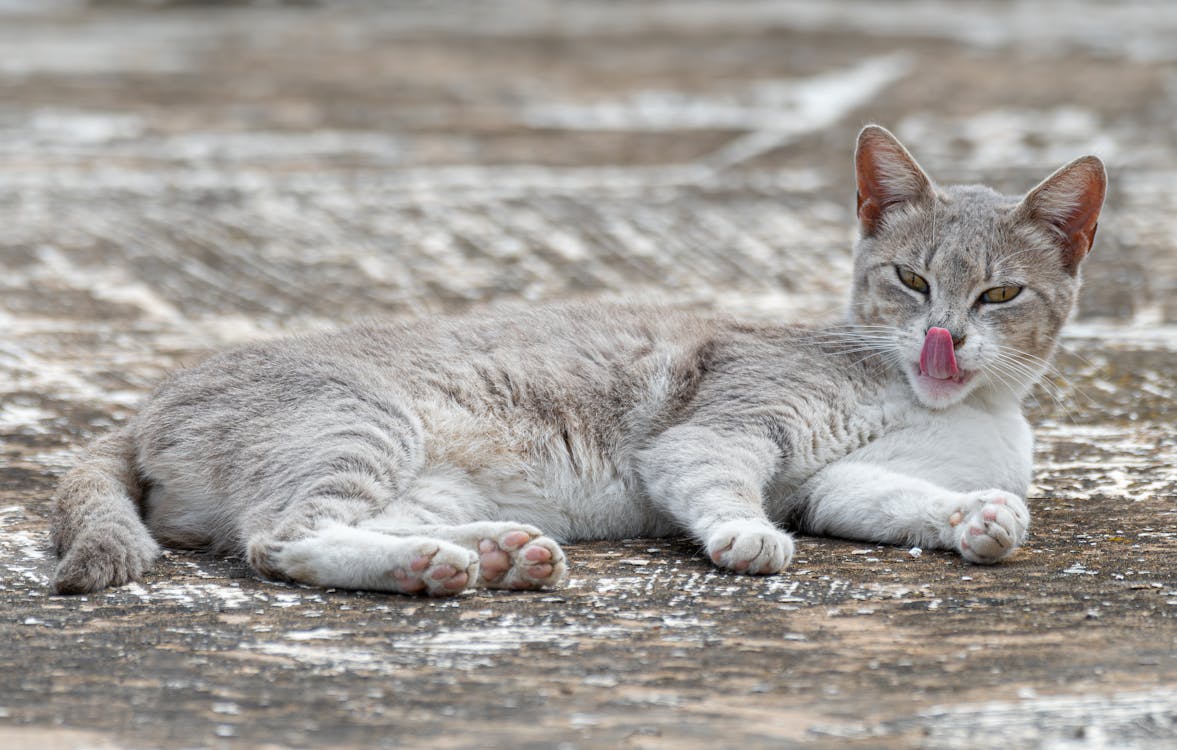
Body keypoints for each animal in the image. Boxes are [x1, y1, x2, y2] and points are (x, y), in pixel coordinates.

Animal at [52, 127, 1101, 595]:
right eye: (910, 280)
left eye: (998, 295)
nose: (942, 340)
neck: (936, 405)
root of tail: (144, 405)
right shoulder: (719, 431)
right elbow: (721, 483)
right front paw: (745, 535)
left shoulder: (831, 485)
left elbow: (890, 498)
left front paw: (977, 519)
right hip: (360, 423)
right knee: (280, 539)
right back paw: (436, 566)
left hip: (421, 474)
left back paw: (491, 552)